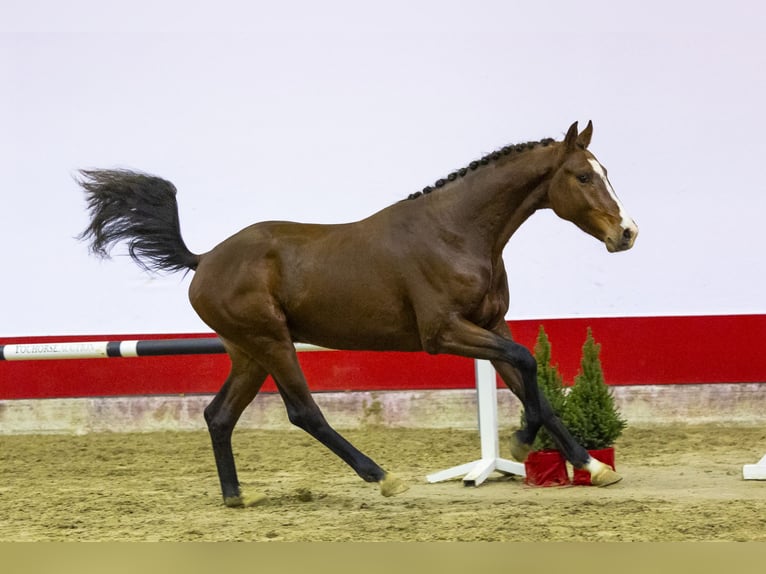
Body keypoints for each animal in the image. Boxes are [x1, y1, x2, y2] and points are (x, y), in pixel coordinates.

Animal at [79, 121, 640, 508]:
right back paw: (382, 477)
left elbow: (530, 382)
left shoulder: (489, 326)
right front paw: (524, 446)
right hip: (272, 343)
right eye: (583, 175)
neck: (457, 232)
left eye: (607, 173)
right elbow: (526, 363)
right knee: (303, 412)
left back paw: (236, 496)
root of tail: (204, 259)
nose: (628, 233)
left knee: (218, 415)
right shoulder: (445, 333)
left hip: (248, 352)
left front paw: (592, 465)